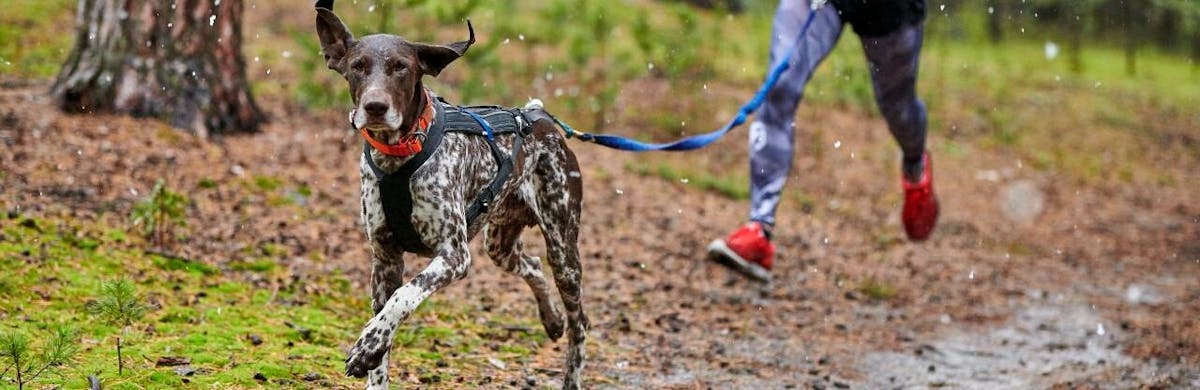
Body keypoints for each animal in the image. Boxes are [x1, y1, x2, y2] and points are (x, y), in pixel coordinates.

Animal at [312, 3, 588, 388]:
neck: (399, 156)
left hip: (563, 250)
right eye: (358, 66)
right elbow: (386, 325)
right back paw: (551, 318)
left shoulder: (454, 255)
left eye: (401, 66)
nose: (375, 106)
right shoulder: (384, 260)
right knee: (532, 266)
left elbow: (404, 296)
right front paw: (373, 353)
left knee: (580, 325)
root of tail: (537, 116)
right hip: (500, 244)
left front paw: (367, 344)